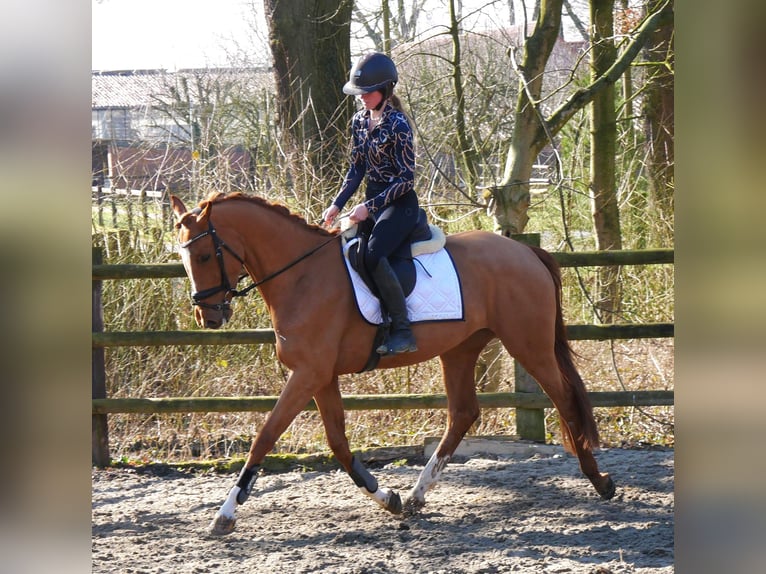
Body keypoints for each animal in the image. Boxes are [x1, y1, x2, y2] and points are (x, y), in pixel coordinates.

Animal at [171, 194, 616, 540]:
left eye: (206, 255)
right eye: (185, 258)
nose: (208, 317)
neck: (301, 276)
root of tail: (526, 251)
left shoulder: (308, 375)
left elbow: (265, 437)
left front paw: (224, 515)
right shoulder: (321, 377)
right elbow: (338, 444)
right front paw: (388, 499)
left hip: (529, 345)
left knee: (564, 399)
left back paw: (600, 481)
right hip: (460, 349)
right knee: (464, 413)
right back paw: (417, 496)